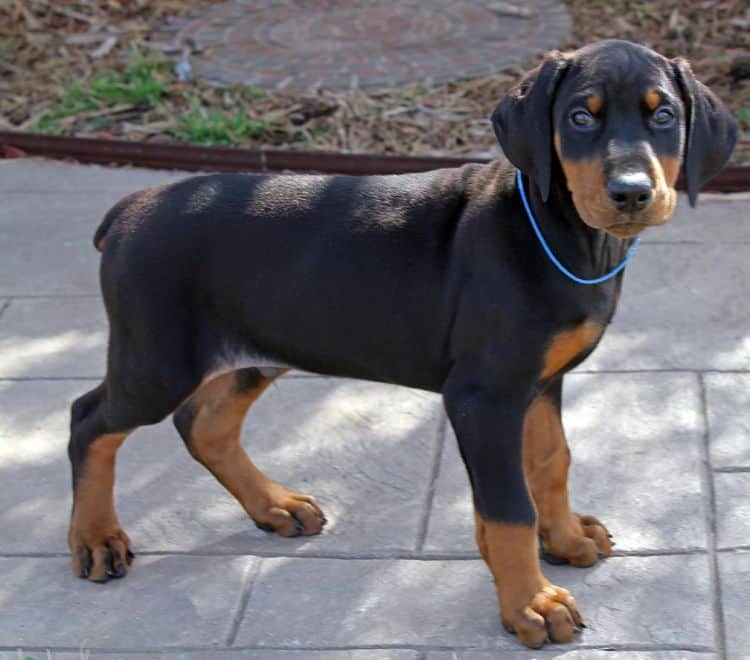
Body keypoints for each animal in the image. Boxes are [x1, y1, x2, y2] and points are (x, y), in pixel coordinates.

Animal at [67, 42, 736, 648]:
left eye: (663, 115)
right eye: (579, 117)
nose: (631, 193)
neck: (561, 234)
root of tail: (125, 210)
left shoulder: (541, 381)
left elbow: (550, 463)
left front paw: (566, 538)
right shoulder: (484, 395)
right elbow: (507, 508)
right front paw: (531, 604)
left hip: (253, 350)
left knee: (203, 424)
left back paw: (274, 506)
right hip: (157, 359)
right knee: (88, 420)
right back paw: (96, 538)